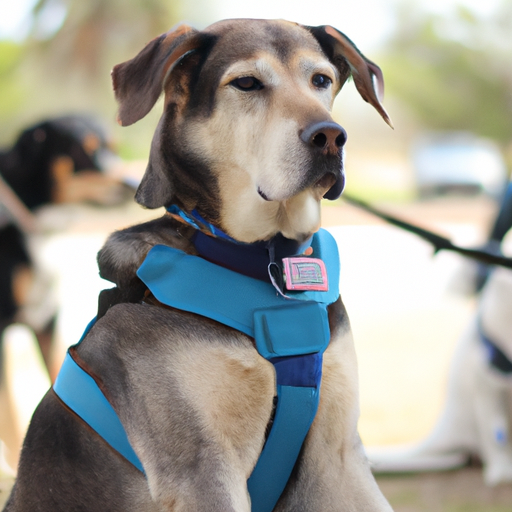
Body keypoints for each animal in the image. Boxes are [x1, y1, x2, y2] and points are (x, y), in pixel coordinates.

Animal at [4, 18, 394, 510]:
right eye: (246, 83)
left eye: (320, 80)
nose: (330, 136)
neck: (266, 263)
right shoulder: (200, 469)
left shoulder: (339, 455)